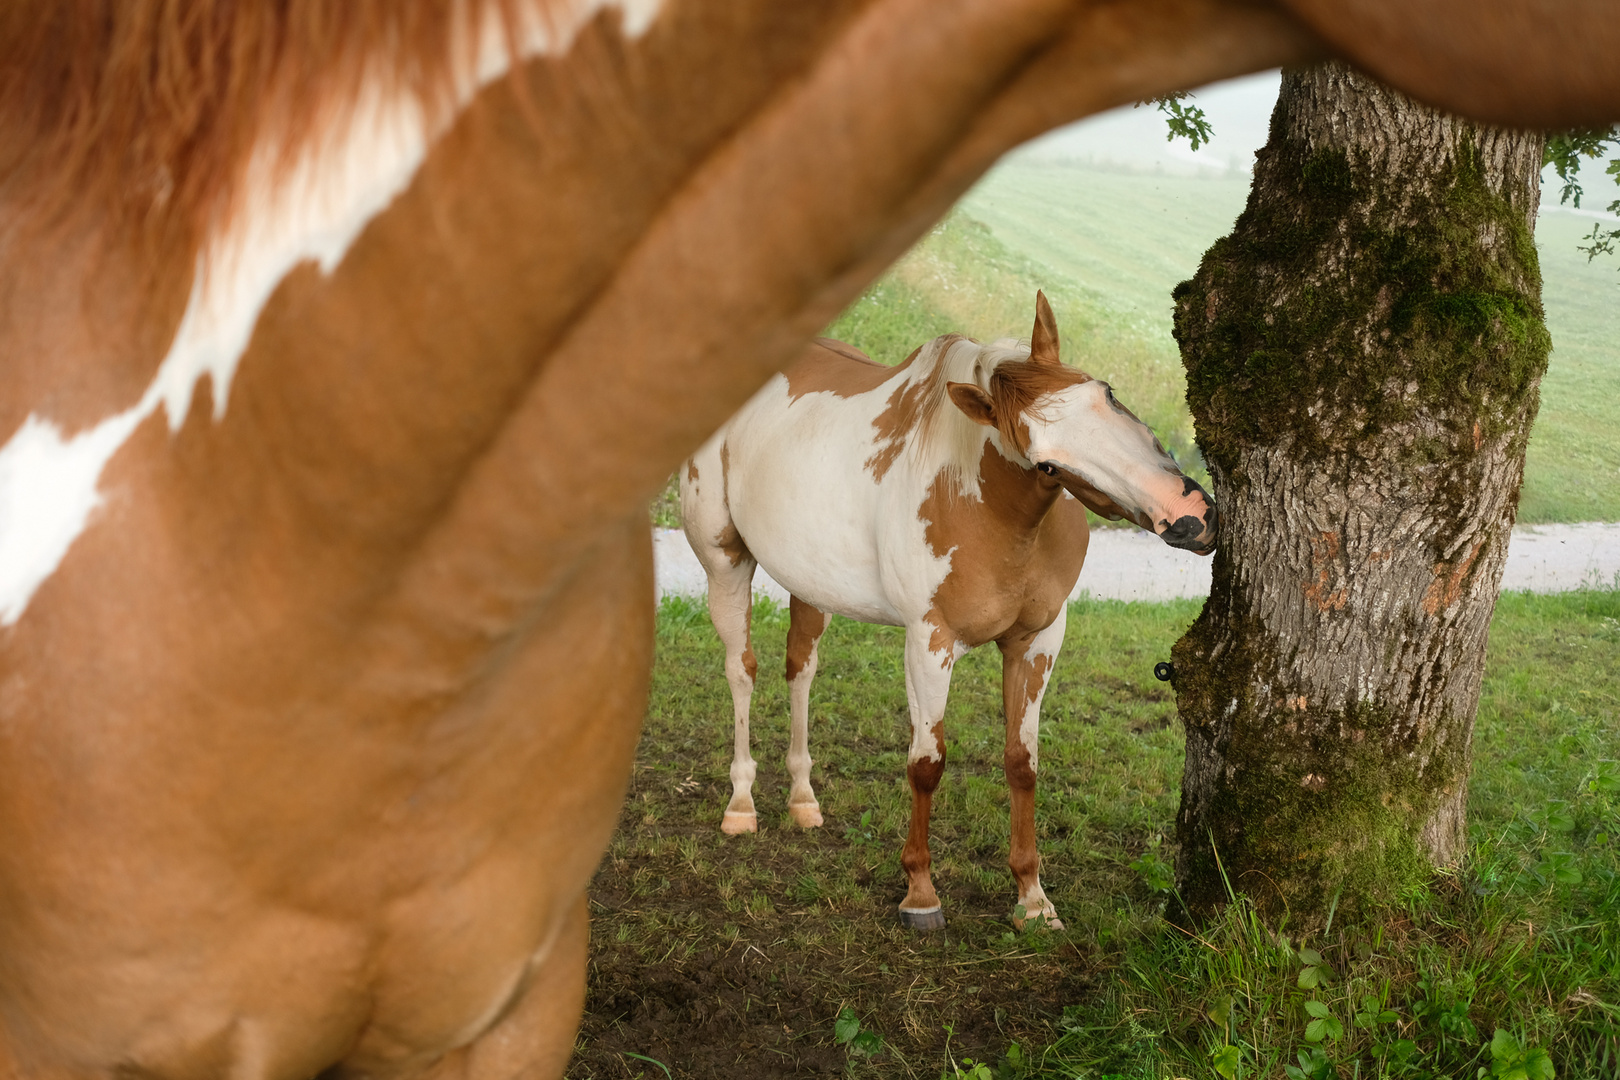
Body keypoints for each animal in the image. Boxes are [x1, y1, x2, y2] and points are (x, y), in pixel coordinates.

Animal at [683, 293, 1218, 932]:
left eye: (1108, 392)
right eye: (1045, 464)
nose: (1188, 519)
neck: (988, 505)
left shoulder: (1039, 640)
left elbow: (1022, 761)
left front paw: (1032, 898)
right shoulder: (928, 642)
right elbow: (927, 761)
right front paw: (920, 892)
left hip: (809, 584)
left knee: (801, 669)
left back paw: (803, 800)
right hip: (725, 563)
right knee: (742, 670)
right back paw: (741, 806)